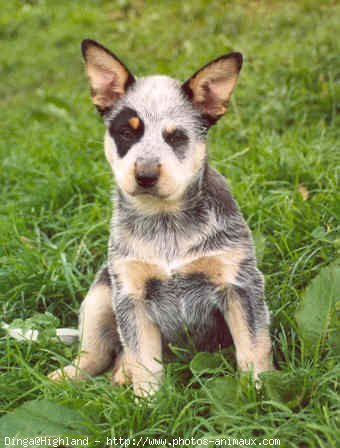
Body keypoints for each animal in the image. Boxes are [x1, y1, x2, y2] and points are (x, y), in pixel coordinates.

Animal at [49, 39, 274, 396]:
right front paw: (148, 403)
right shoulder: (131, 295)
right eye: (126, 133)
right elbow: (144, 362)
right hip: (101, 292)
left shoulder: (239, 285)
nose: (145, 175)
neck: (166, 223)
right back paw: (72, 376)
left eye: (176, 137)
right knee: (97, 353)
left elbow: (253, 348)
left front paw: (258, 396)